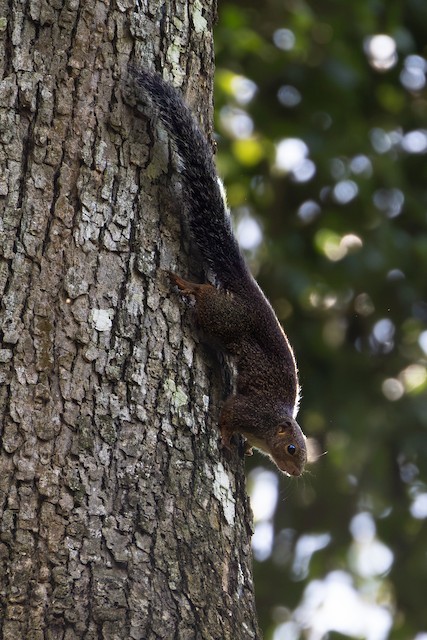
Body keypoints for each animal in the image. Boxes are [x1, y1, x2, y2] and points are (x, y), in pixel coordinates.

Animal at [131, 68, 307, 477]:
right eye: (291, 448)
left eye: (305, 455)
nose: (296, 472)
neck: (269, 425)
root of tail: (248, 290)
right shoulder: (248, 410)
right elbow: (227, 414)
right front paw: (228, 440)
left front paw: (246, 450)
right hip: (225, 317)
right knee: (206, 299)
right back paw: (187, 285)